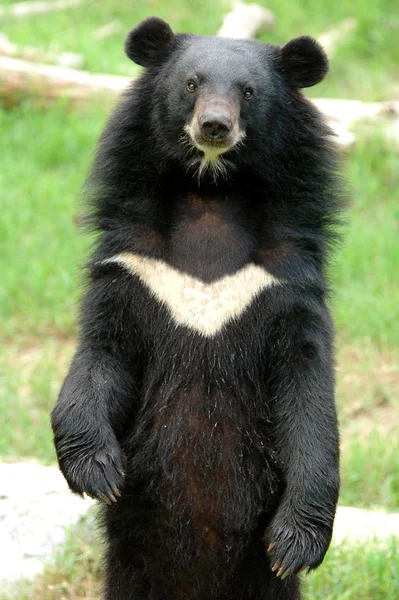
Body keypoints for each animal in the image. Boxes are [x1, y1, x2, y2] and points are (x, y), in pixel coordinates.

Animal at [51, 16, 346, 600]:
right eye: (191, 83)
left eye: (248, 92)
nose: (214, 127)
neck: (211, 195)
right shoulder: (135, 267)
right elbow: (100, 359)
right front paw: (98, 471)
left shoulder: (285, 279)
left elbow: (308, 395)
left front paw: (296, 543)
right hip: (130, 563)